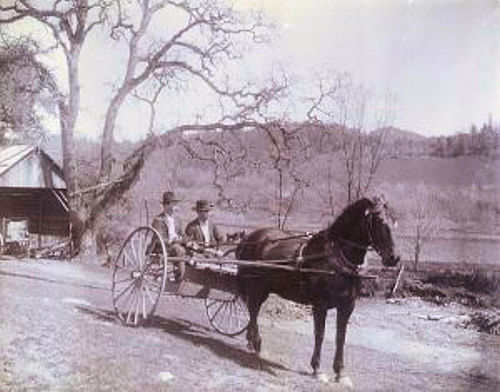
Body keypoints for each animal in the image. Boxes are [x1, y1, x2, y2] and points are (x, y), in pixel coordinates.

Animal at [236, 198, 400, 384]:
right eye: (379, 221)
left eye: (394, 222)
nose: (394, 258)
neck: (333, 260)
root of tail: (250, 237)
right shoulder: (320, 305)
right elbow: (320, 335)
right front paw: (317, 369)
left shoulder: (347, 306)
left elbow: (340, 337)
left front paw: (340, 372)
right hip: (256, 286)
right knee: (253, 310)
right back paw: (256, 342)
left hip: (263, 288)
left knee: (253, 311)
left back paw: (251, 342)